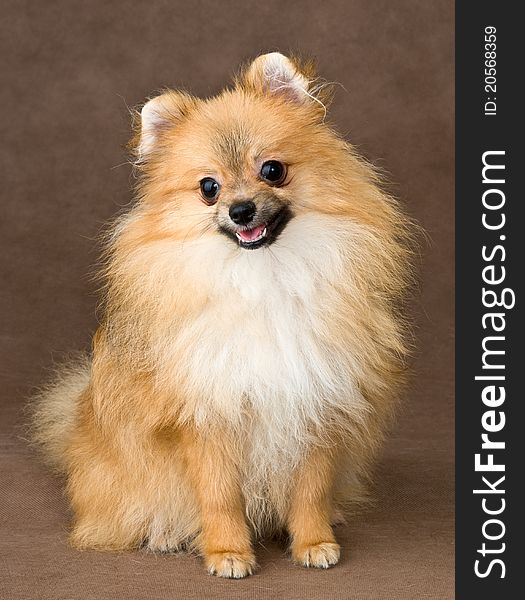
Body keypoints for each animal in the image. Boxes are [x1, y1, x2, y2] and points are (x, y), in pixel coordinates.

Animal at [31, 54, 414, 580]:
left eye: (272, 170)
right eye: (208, 188)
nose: (241, 209)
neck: (264, 275)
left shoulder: (316, 399)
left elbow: (310, 490)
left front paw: (314, 542)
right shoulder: (208, 416)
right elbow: (219, 496)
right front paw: (228, 552)